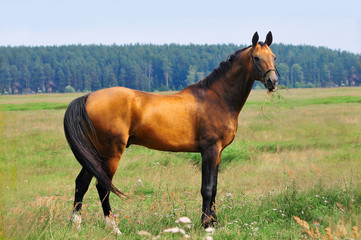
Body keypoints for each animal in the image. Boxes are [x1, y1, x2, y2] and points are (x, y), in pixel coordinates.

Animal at [64, 31, 278, 233]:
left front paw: (215, 223)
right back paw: (114, 228)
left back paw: (76, 225)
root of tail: (88, 97)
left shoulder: (217, 153)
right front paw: (206, 225)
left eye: (273, 56)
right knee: (102, 186)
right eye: (256, 58)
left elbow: (214, 187)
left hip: (95, 154)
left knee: (81, 183)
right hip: (110, 153)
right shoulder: (210, 150)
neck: (217, 98)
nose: (273, 81)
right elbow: (207, 189)